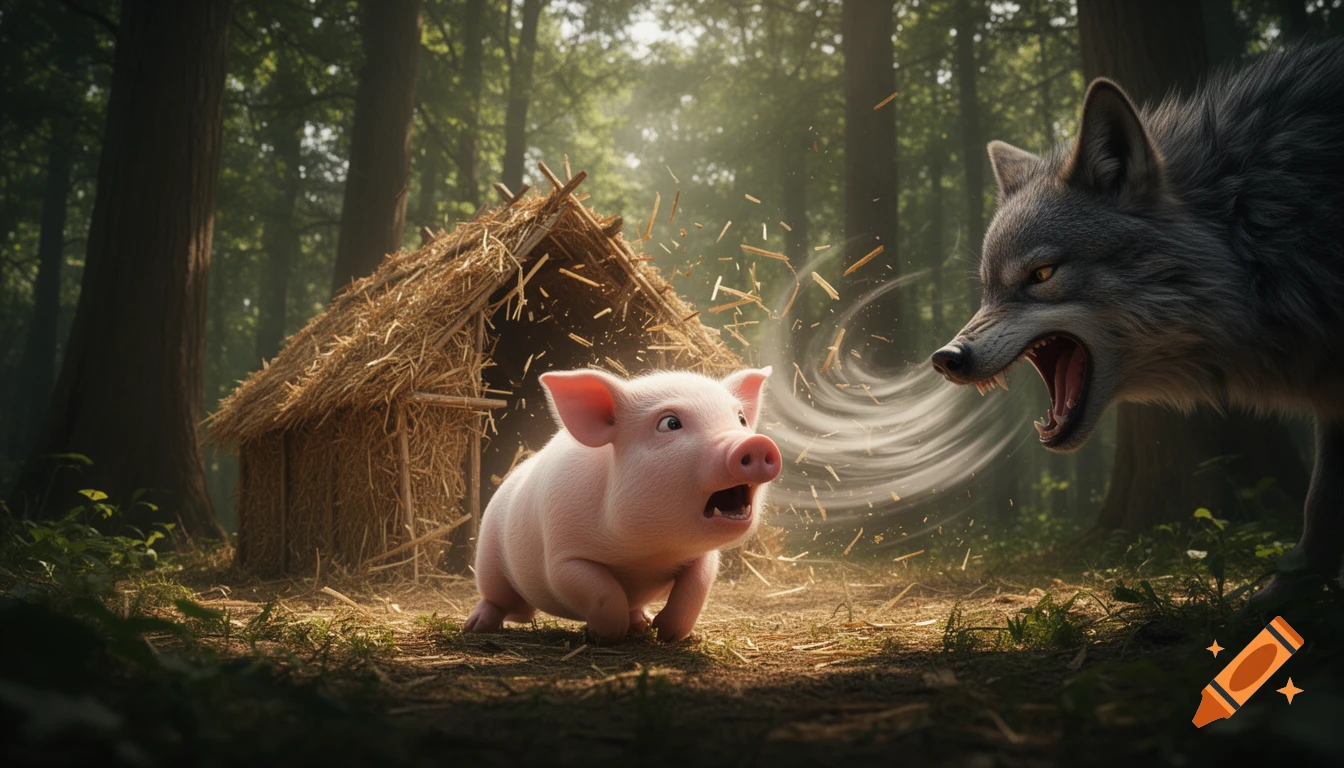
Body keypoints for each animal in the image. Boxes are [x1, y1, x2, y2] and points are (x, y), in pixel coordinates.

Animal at [463, 367, 781, 643]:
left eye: (740, 419)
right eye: (670, 423)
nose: (755, 444)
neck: (645, 555)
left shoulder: (704, 556)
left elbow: (695, 587)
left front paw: (662, 631)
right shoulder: (563, 558)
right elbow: (603, 591)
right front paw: (603, 636)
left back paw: (640, 623)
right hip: (489, 558)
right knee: (495, 598)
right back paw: (474, 627)